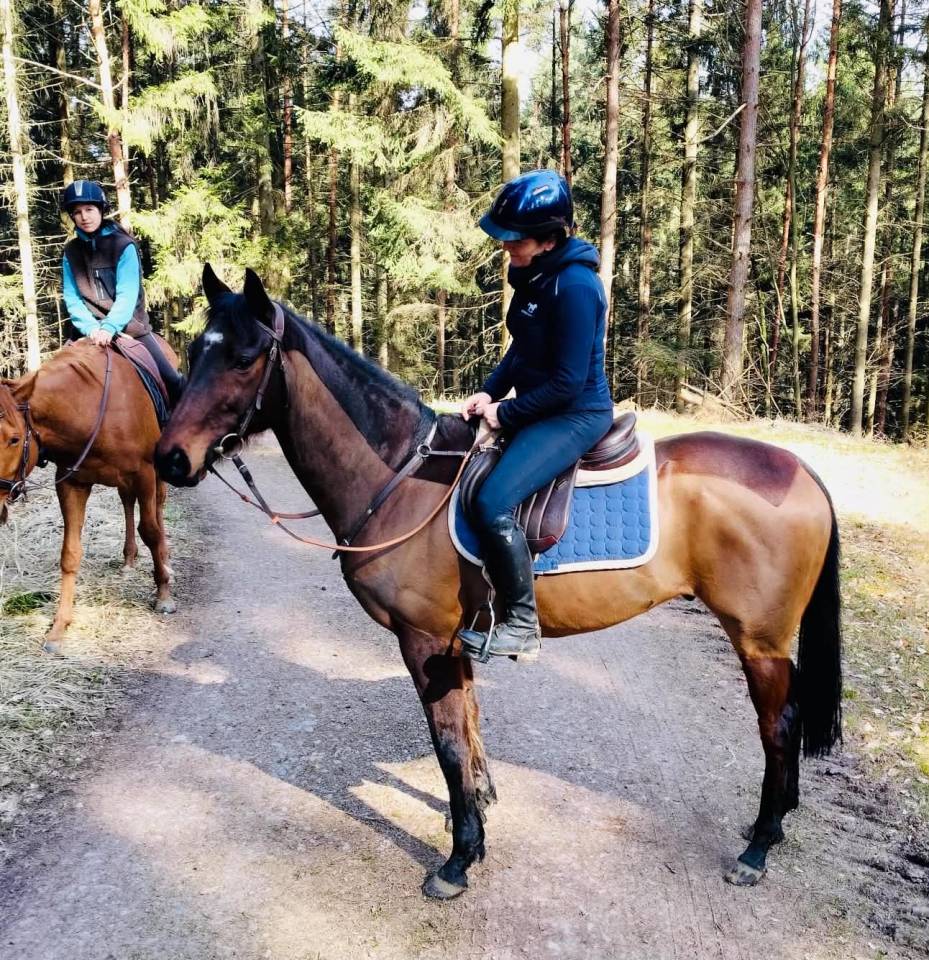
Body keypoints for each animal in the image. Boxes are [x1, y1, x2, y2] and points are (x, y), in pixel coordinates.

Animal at [1, 340, 178, 652]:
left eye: (14, 438)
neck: (90, 409)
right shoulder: (72, 484)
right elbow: (70, 553)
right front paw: (59, 628)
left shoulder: (144, 473)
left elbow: (151, 531)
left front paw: (163, 594)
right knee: (127, 502)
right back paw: (129, 560)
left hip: (154, 474)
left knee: (157, 508)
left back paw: (164, 559)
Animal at [155, 265, 842, 900]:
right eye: (196, 350)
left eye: (244, 357)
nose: (170, 458)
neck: (400, 477)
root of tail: (803, 470)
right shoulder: (454, 640)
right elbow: (469, 726)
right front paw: (479, 807)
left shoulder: (423, 641)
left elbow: (448, 744)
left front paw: (459, 859)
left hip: (758, 641)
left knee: (779, 727)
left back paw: (758, 846)